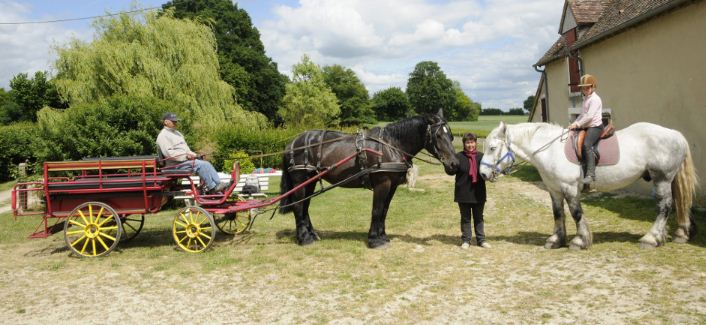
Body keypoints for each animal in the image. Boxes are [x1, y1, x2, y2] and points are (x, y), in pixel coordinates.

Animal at [278, 110, 460, 247]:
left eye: (451, 136)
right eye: (438, 136)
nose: (454, 164)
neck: (391, 145)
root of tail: (292, 143)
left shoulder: (392, 185)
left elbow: (384, 210)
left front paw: (383, 236)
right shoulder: (382, 183)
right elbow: (377, 209)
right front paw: (374, 239)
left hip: (311, 181)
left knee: (305, 207)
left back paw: (312, 234)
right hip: (301, 180)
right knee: (298, 206)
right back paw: (304, 238)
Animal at [478, 121, 692, 248]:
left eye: (492, 148)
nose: (482, 174)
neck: (550, 150)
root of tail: (676, 134)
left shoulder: (570, 188)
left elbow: (576, 213)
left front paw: (580, 240)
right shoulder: (554, 190)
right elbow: (558, 213)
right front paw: (556, 240)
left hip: (662, 178)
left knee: (664, 206)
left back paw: (651, 238)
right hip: (667, 180)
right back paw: (672, 235)